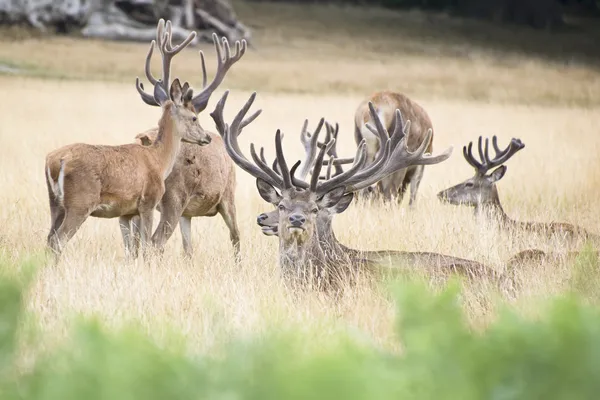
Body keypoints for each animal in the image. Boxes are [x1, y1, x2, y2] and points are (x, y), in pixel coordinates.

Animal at [46, 18, 213, 260]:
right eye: (194, 117)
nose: (207, 137)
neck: (159, 161)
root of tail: (54, 161)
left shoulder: (125, 211)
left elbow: (130, 249)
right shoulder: (148, 202)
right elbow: (146, 247)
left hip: (54, 203)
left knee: (48, 239)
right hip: (80, 202)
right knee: (58, 241)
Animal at [123, 30, 250, 260]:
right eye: (193, 117)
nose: (206, 138)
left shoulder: (187, 214)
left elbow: (188, 248)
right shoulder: (228, 195)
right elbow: (235, 237)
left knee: (135, 243)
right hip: (175, 197)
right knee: (155, 242)